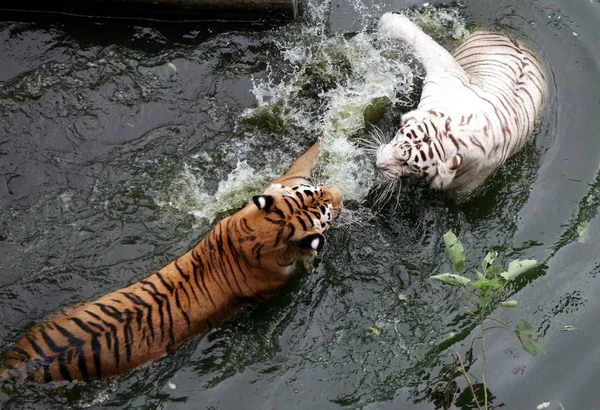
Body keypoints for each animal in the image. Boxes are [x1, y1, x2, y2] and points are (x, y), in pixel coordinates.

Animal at [378, 11, 548, 194]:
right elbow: (417, 37)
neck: (452, 132)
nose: (378, 164)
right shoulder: (444, 76)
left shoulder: (468, 181)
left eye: (408, 165)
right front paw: (386, 23)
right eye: (398, 137)